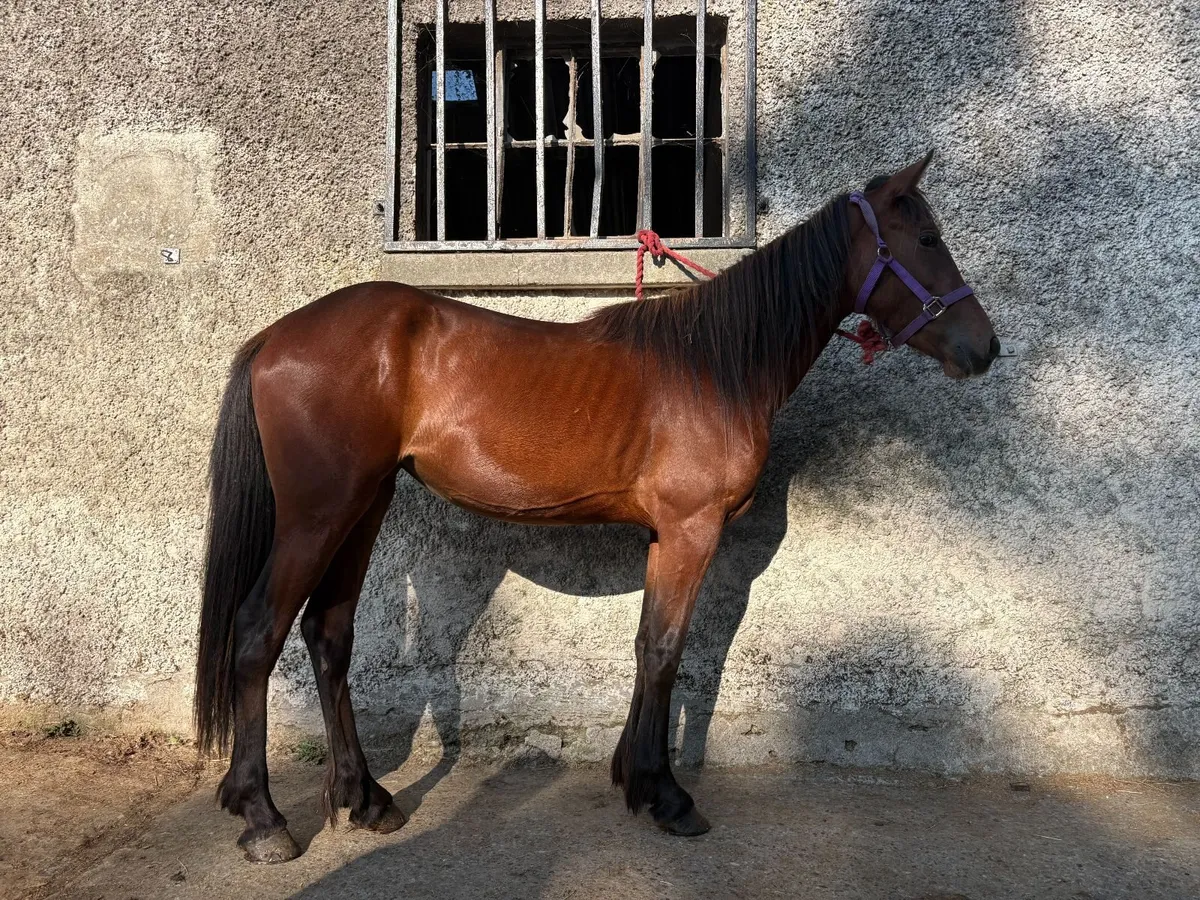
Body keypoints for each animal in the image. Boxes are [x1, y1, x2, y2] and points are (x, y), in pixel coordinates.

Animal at [194, 151, 999, 862]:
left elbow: (646, 647)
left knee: (329, 636)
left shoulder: (664, 538)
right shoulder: (691, 532)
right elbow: (668, 651)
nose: (985, 347)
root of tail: (277, 337)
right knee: (257, 631)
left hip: (365, 507)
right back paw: (263, 817)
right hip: (318, 516)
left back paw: (365, 799)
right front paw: (666, 795)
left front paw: (632, 777)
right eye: (928, 240)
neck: (715, 367)